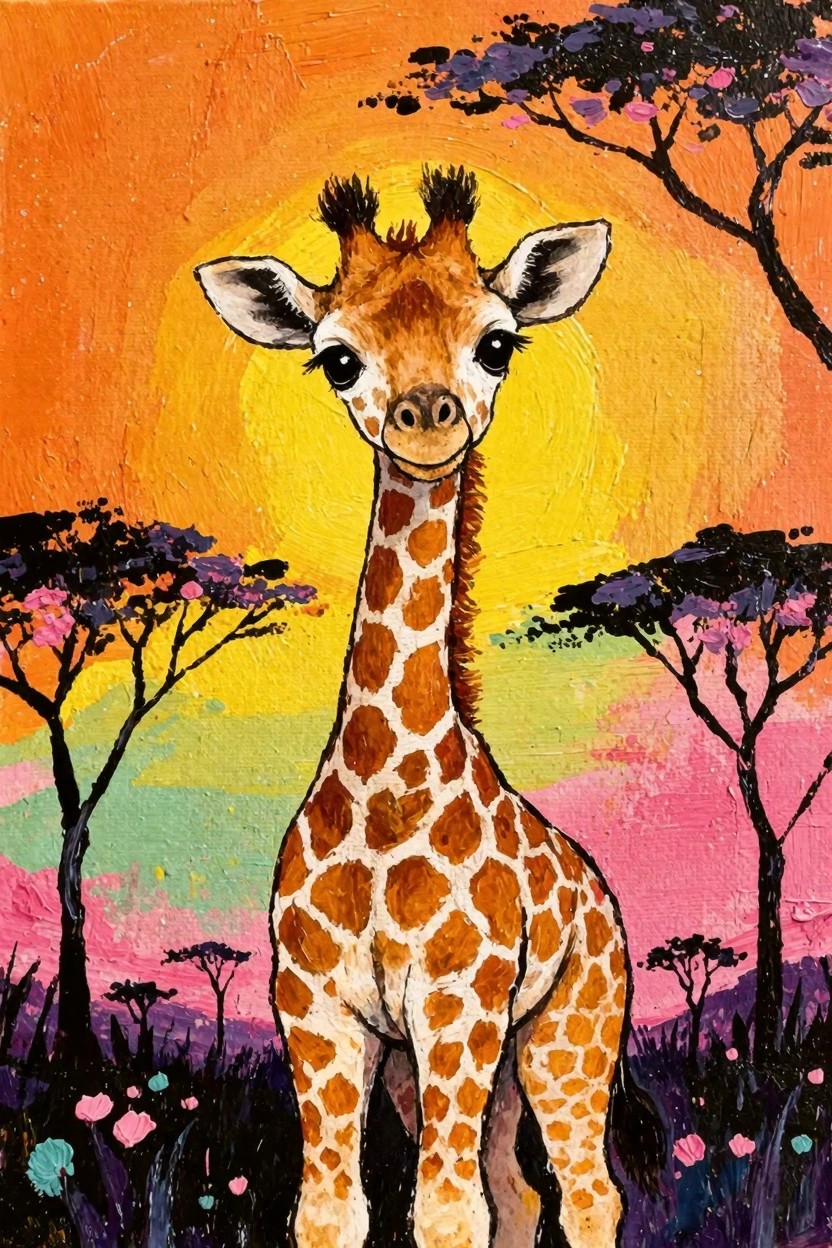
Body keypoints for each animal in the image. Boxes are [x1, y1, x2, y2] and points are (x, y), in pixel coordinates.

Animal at [197, 168, 635, 1248]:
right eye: (337, 359)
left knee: (585, 1189)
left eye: (496, 342)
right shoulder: (318, 1010)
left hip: (568, 1032)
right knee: (520, 1190)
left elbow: (443, 1212)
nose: (427, 419)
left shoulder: (457, 1002)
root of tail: (597, 890)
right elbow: (332, 1211)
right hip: (447, 1064)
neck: (383, 790)